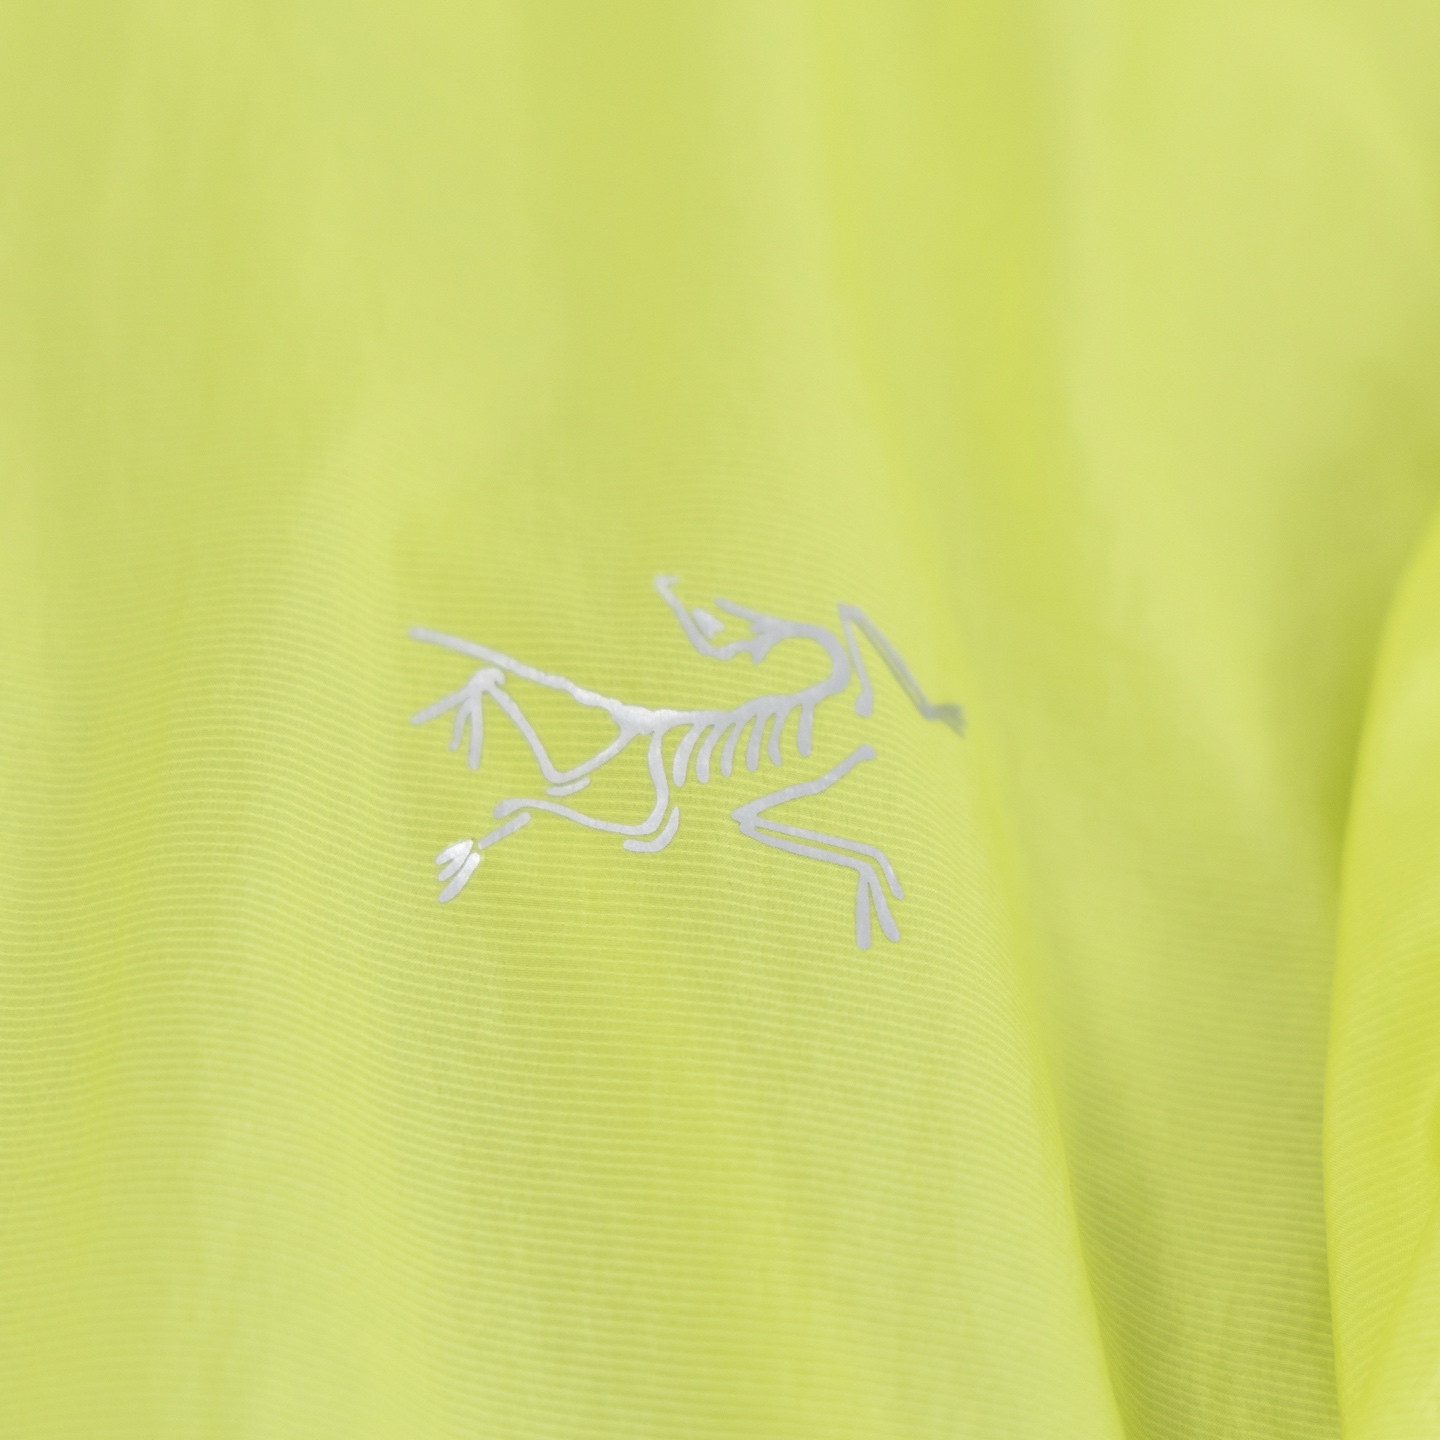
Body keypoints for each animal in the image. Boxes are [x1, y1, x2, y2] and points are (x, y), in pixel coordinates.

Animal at [410, 575, 962, 948]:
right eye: (719, 621)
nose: (705, 617)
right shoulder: (750, 808)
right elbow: (832, 844)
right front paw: (874, 890)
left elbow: (853, 626)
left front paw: (941, 712)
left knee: (551, 781)